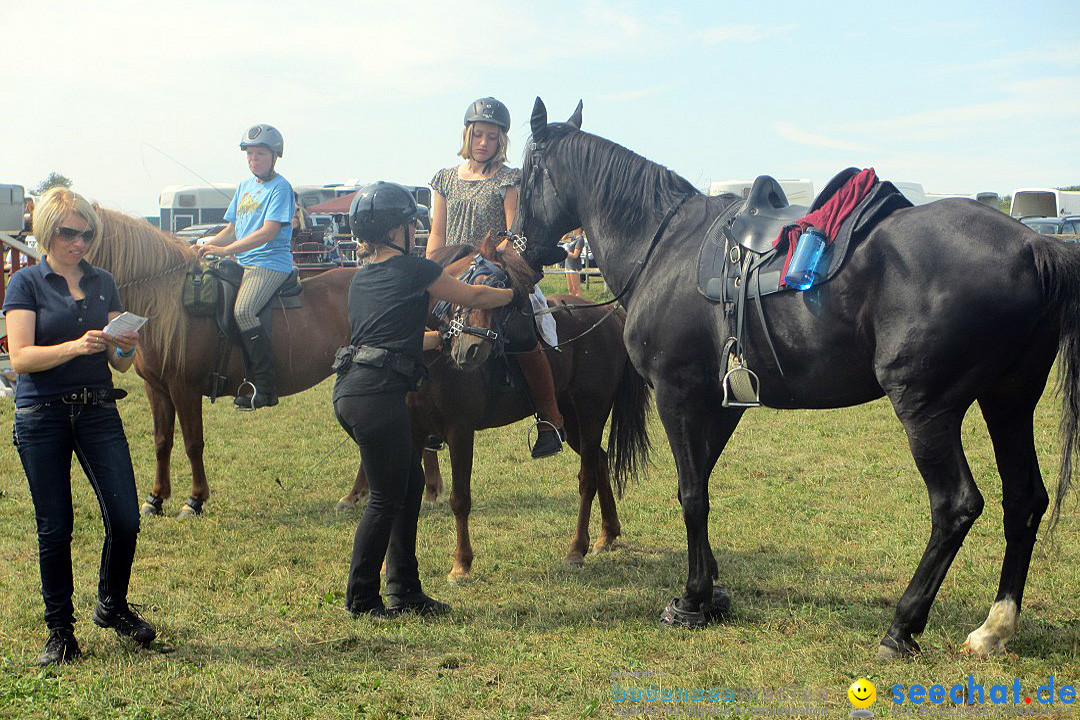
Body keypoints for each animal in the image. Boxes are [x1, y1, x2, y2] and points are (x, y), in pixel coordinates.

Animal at [336, 239, 652, 582]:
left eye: (499, 289)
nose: (471, 350)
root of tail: (607, 313)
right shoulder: (413, 433)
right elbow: (401, 495)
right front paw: (384, 565)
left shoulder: (460, 431)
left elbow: (460, 498)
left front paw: (461, 564)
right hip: (572, 419)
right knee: (600, 461)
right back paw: (607, 534)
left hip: (591, 411)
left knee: (588, 477)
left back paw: (575, 549)